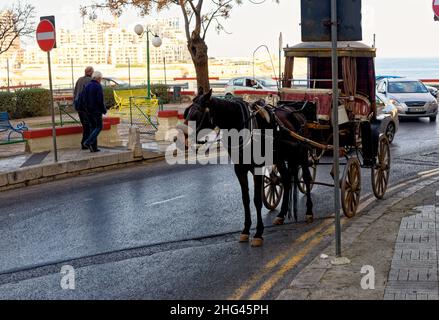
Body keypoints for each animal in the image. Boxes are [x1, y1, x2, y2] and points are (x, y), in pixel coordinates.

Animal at [180, 88, 314, 248]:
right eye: (186, 113)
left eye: (196, 114)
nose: (182, 139)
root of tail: (296, 111)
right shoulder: (240, 169)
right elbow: (245, 200)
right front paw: (245, 231)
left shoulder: (257, 168)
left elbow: (257, 200)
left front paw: (258, 233)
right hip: (281, 157)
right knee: (286, 179)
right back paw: (281, 215)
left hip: (302, 154)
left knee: (306, 177)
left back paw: (309, 211)